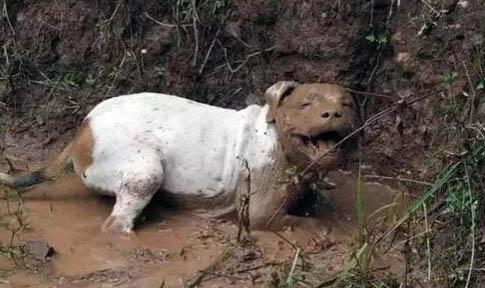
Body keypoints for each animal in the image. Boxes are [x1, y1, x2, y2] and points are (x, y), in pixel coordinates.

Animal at [0, 81, 356, 234]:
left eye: (347, 104)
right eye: (306, 103)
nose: (333, 113)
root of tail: (82, 131)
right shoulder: (261, 213)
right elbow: (301, 222)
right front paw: (322, 228)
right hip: (146, 169)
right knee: (116, 223)